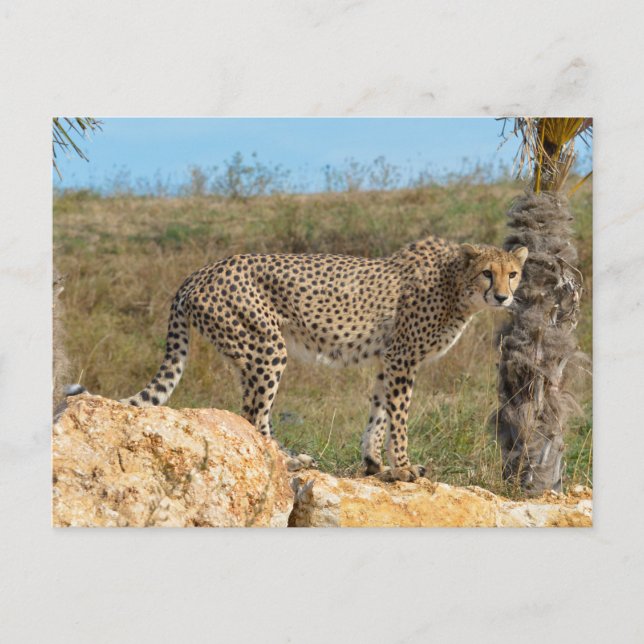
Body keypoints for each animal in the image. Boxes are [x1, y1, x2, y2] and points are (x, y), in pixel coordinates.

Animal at [120, 236, 528, 482]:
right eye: (487, 273)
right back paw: (285, 461)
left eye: (513, 274)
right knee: (255, 415)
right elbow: (399, 418)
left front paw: (375, 463)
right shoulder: (402, 358)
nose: (503, 297)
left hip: (252, 353)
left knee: (252, 412)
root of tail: (202, 271)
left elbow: (379, 411)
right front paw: (403, 467)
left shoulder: (388, 359)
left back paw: (290, 458)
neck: (456, 285)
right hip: (268, 348)